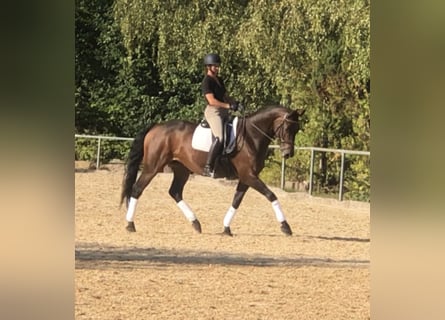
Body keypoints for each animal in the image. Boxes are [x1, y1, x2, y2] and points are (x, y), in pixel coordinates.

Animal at [119, 104, 304, 235]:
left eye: (297, 129)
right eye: (288, 128)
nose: (288, 153)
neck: (251, 136)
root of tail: (156, 127)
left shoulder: (246, 178)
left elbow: (236, 201)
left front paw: (226, 228)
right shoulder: (249, 176)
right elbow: (271, 195)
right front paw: (285, 226)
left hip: (181, 169)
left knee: (175, 192)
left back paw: (196, 224)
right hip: (152, 167)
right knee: (137, 189)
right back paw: (130, 224)